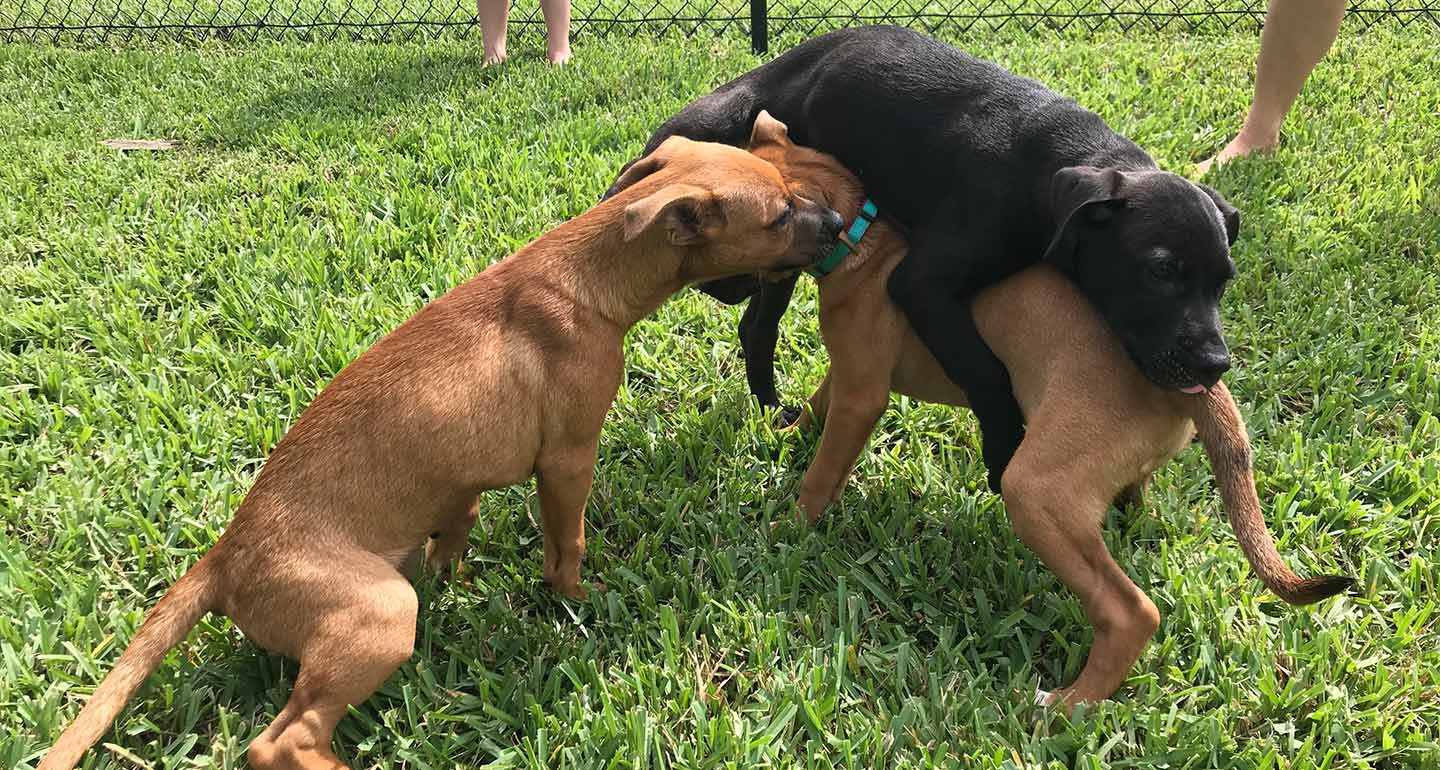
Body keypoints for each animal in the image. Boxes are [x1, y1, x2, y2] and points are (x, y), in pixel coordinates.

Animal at [39, 138, 840, 770]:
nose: (837, 221)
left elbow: (458, 518)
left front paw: (456, 563)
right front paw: (577, 599)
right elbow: (568, 544)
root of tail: (223, 558)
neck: (590, 275)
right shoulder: (568, 458)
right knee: (281, 742)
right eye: (778, 215)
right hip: (380, 611)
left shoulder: (465, 478)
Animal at [604, 28, 1238, 495]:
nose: (1215, 365)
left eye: (1224, 282)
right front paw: (1003, 454)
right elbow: (986, 371)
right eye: (1160, 270)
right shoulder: (923, 285)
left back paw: (771, 409)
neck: (1048, 166)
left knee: (755, 326)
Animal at [743, 112, 1347, 710]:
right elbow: (815, 409)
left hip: (1038, 492)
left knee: (1131, 613)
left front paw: (788, 526)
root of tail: (1186, 385)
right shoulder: (845, 374)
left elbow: (822, 473)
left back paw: (1070, 704)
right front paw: (784, 433)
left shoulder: (862, 394)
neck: (866, 239)